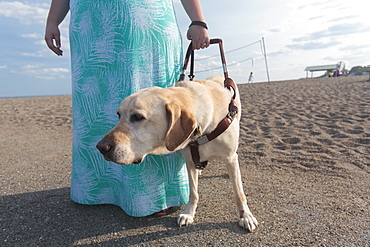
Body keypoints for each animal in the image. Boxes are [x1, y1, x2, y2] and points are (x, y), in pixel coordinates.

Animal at [97, 75, 258, 232]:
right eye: (118, 115)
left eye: (138, 117)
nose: (100, 147)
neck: (200, 132)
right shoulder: (190, 161)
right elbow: (193, 192)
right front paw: (188, 213)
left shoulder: (230, 157)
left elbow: (239, 193)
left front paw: (246, 216)